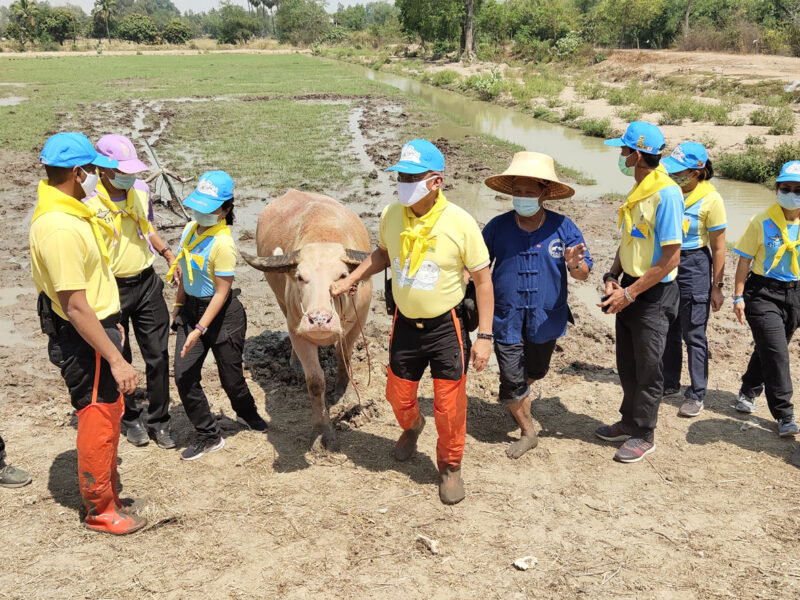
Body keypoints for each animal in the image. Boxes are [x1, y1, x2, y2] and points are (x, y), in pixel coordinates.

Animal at [242, 188, 374, 450]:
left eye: (342, 275)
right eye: (300, 277)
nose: (320, 320)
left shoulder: (358, 322)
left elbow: (343, 356)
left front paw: (342, 390)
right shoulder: (298, 331)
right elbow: (315, 381)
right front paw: (322, 430)